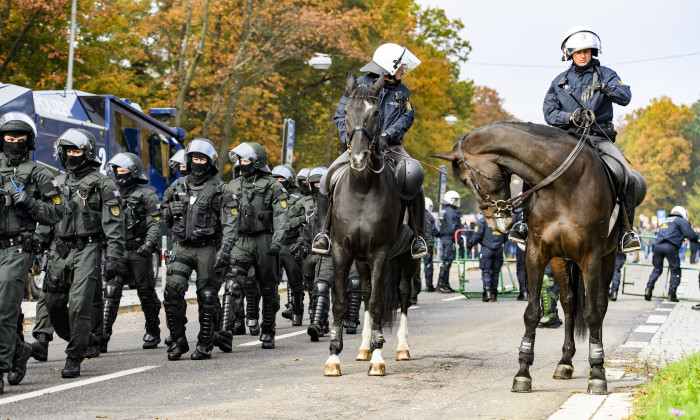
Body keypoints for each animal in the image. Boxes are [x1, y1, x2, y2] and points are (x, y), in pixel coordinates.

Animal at [326, 70, 418, 376]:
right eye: (345, 111)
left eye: (375, 112)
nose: (357, 158)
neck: (362, 189)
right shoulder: (342, 252)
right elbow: (342, 303)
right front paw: (334, 357)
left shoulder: (380, 253)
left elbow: (378, 304)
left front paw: (378, 359)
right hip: (362, 260)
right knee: (365, 292)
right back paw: (365, 347)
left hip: (407, 258)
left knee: (403, 294)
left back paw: (401, 348)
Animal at [434, 120, 632, 394]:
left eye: (465, 178)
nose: (499, 221)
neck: (565, 185)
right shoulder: (536, 254)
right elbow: (532, 313)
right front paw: (523, 372)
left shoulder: (591, 257)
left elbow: (592, 314)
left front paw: (598, 373)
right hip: (561, 261)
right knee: (569, 303)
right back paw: (565, 362)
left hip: (608, 258)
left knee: (599, 306)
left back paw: (595, 360)